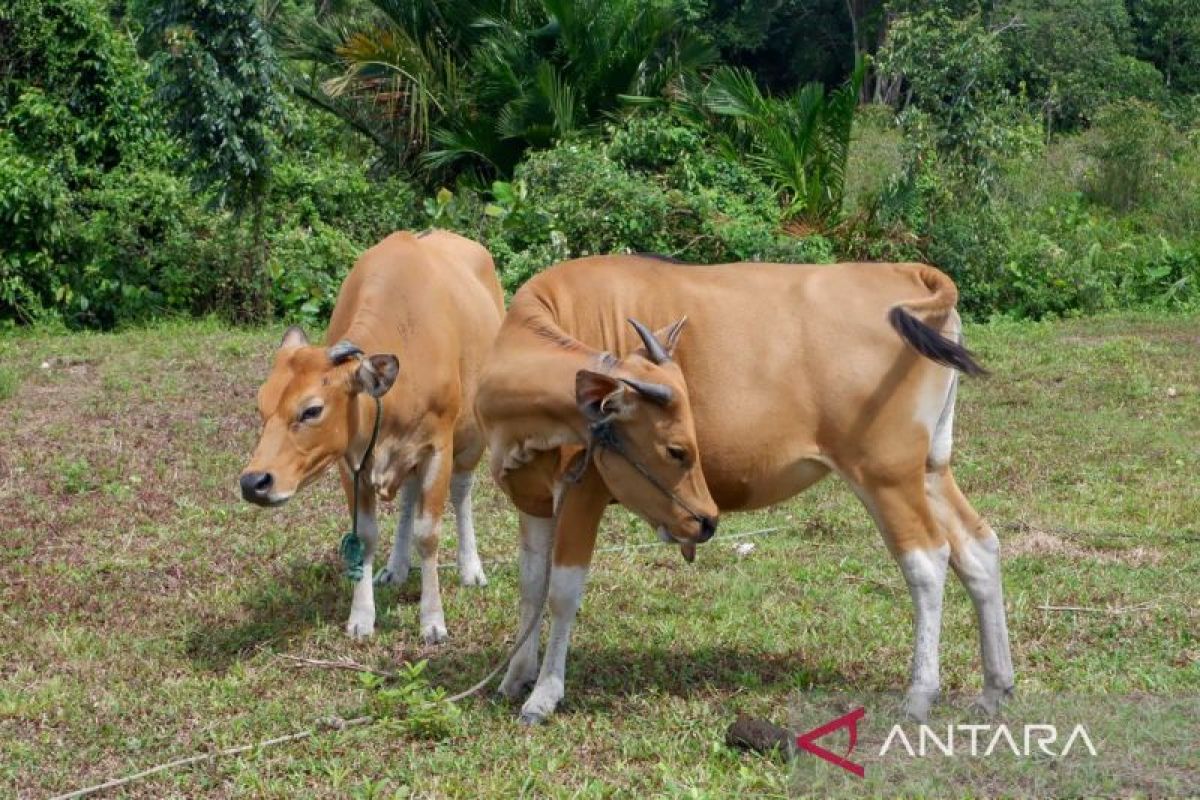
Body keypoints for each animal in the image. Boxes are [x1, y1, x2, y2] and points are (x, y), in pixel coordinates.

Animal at [475, 255, 1012, 724]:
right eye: (677, 450)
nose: (707, 521)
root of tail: (908, 273)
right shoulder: (536, 501)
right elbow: (531, 587)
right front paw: (515, 677)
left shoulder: (582, 491)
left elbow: (562, 592)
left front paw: (544, 694)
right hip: (930, 468)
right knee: (978, 548)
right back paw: (995, 688)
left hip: (886, 474)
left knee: (928, 560)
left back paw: (920, 693)